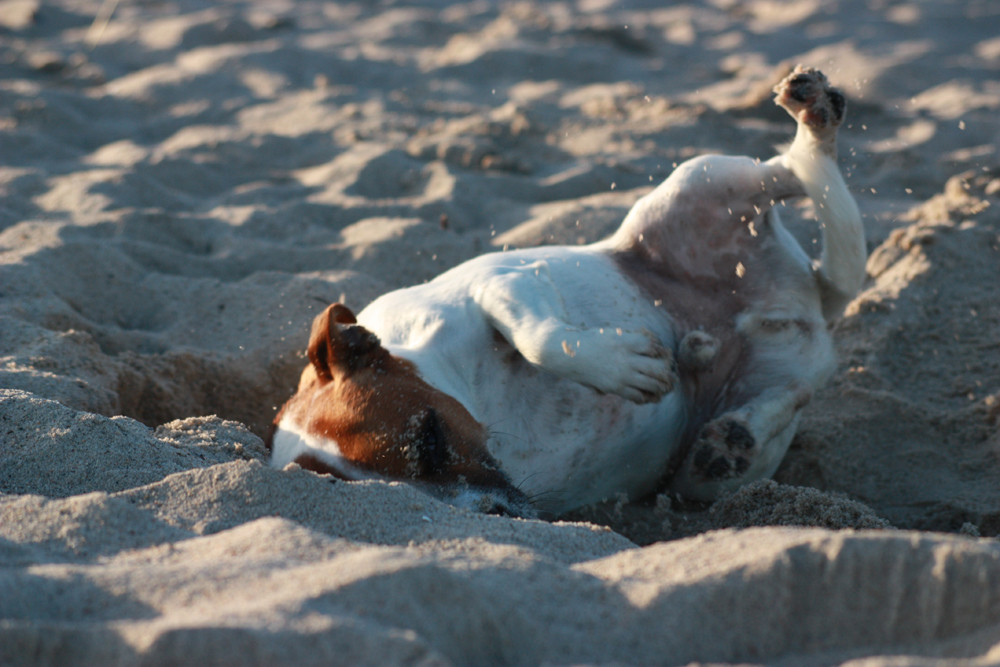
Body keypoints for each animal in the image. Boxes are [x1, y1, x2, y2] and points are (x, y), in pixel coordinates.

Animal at [268, 66, 868, 516]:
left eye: (428, 438)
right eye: (398, 498)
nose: (497, 514)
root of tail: (808, 298)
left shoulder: (503, 282)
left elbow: (539, 336)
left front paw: (622, 368)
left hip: (703, 180)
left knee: (794, 170)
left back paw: (813, 114)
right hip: (716, 461)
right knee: (789, 391)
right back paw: (729, 431)